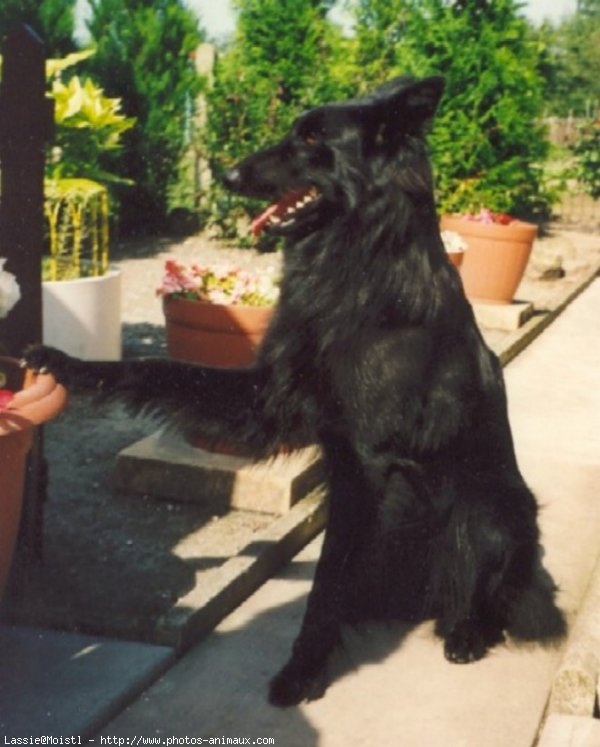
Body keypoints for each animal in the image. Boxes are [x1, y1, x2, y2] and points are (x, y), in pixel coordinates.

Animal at [25, 74, 564, 708]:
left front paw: (302, 670)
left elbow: (326, 579)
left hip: (491, 513)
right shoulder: (271, 399)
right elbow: (158, 368)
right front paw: (68, 364)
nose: (228, 175)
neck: (355, 263)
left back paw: (466, 632)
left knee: (490, 596)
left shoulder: (367, 464)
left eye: (311, 139)